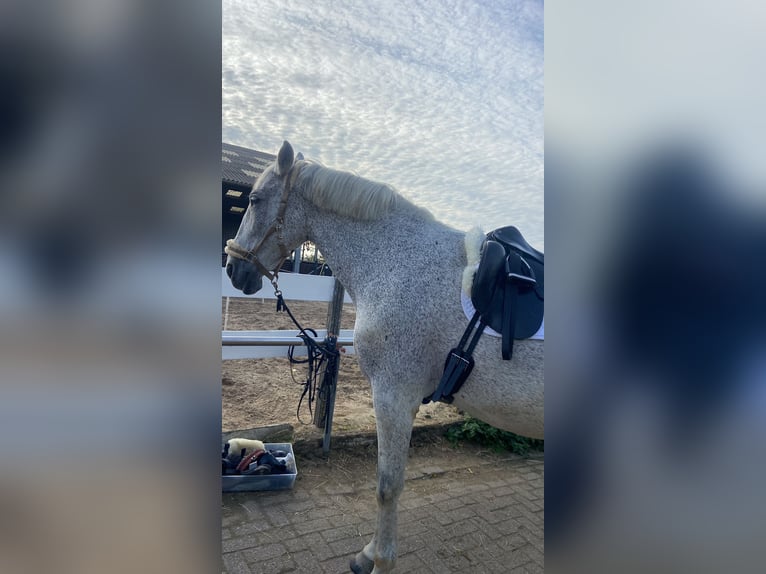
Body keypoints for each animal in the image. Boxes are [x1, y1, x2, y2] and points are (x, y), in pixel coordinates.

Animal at [225, 140, 544, 574]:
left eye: (255, 200)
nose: (233, 268)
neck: (396, 261)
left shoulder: (393, 395)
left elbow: (387, 486)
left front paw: (380, 560)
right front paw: (369, 554)